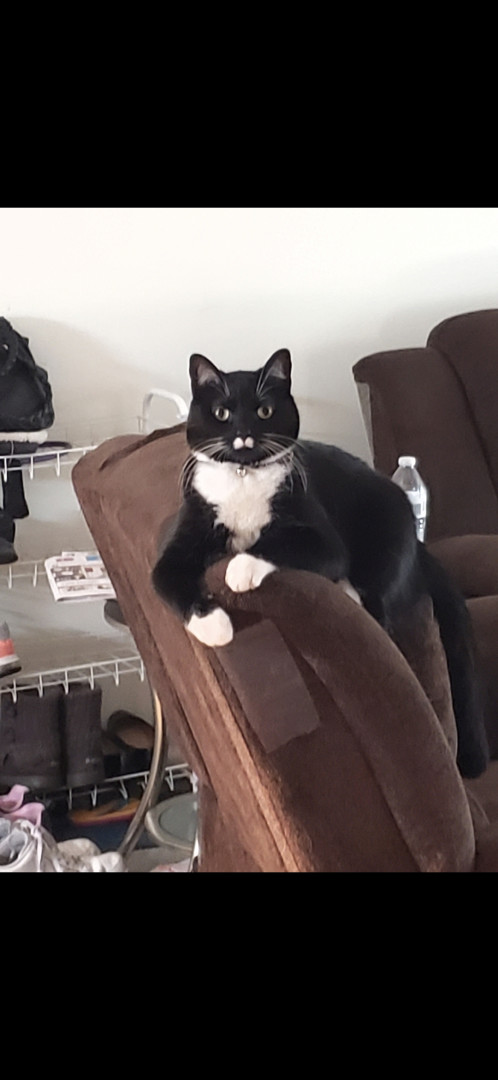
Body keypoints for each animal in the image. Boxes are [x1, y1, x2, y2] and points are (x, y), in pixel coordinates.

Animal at [152, 348, 489, 779]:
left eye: (264, 411)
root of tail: (417, 542)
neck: (244, 479)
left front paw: (239, 569)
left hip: (385, 540)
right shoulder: (184, 536)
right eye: (222, 413)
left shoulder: (322, 538)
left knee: (376, 613)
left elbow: (279, 544)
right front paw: (214, 626)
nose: (244, 435)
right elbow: (164, 578)